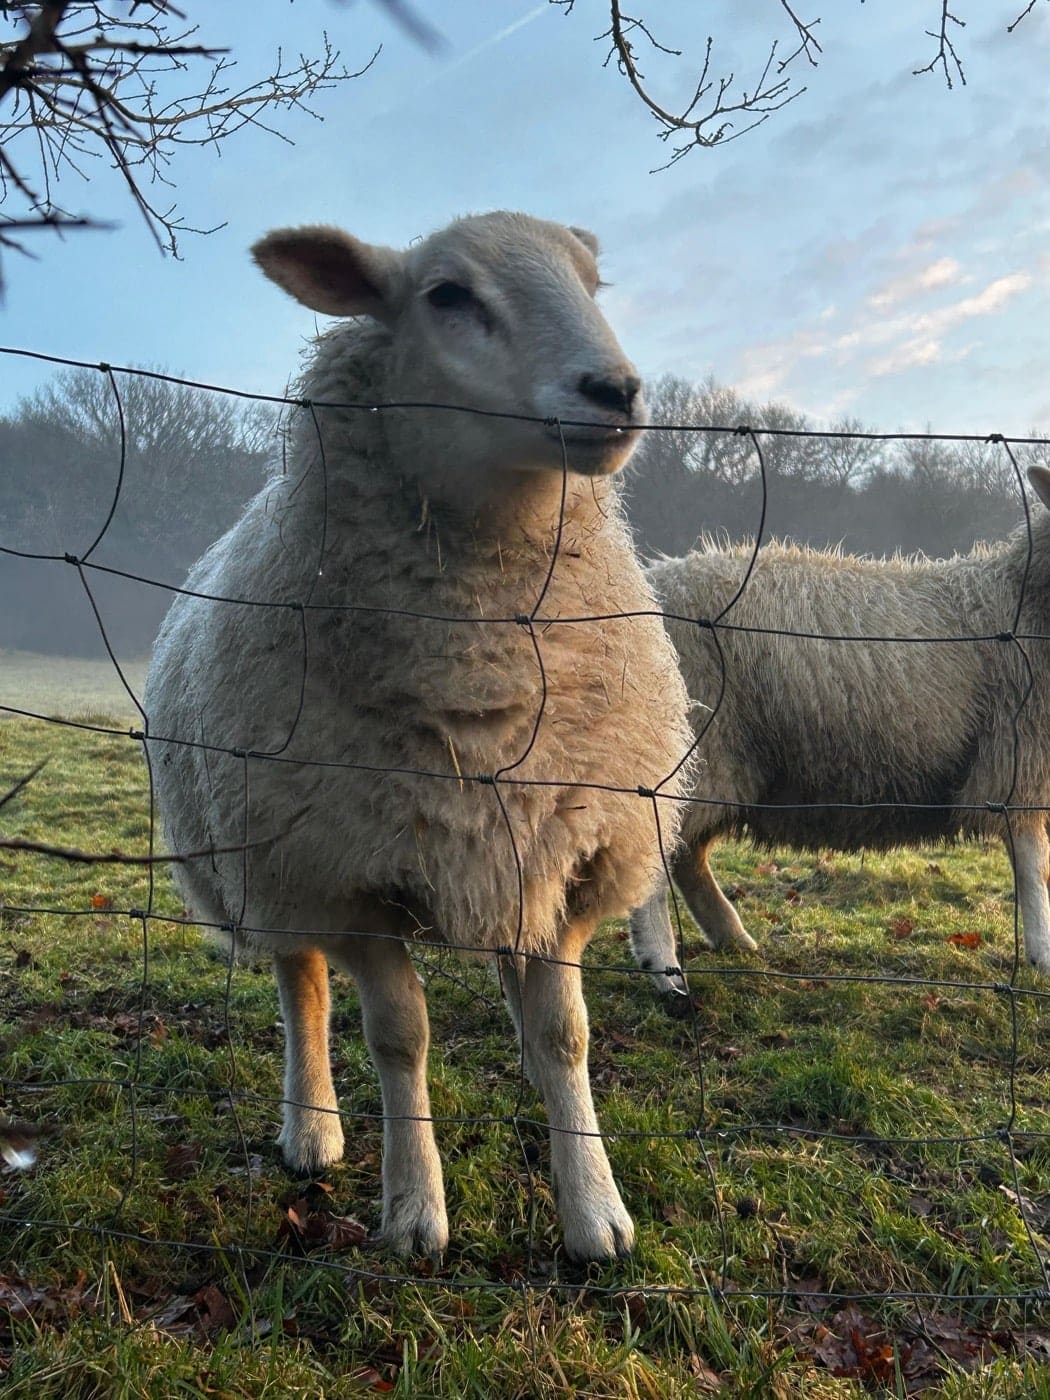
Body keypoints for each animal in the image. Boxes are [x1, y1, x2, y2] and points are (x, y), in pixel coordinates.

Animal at [144, 212, 693, 1262]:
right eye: (446, 295)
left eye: (591, 283)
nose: (616, 392)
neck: (487, 658)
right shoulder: (349, 875)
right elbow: (400, 1038)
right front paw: (414, 1210)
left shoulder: (562, 852)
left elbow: (566, 1037)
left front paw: (595, 1213)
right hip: (273, 855)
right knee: (302, 985)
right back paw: (312, 1129)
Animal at [630, 468, 1050, 1001]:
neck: (1023, 594)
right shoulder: (1018, 754)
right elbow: (1034, 863)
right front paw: (1044, 954)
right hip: (698, 748)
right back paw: (665, 970)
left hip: (719, 759)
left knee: (686, 857)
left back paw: (732, 938)